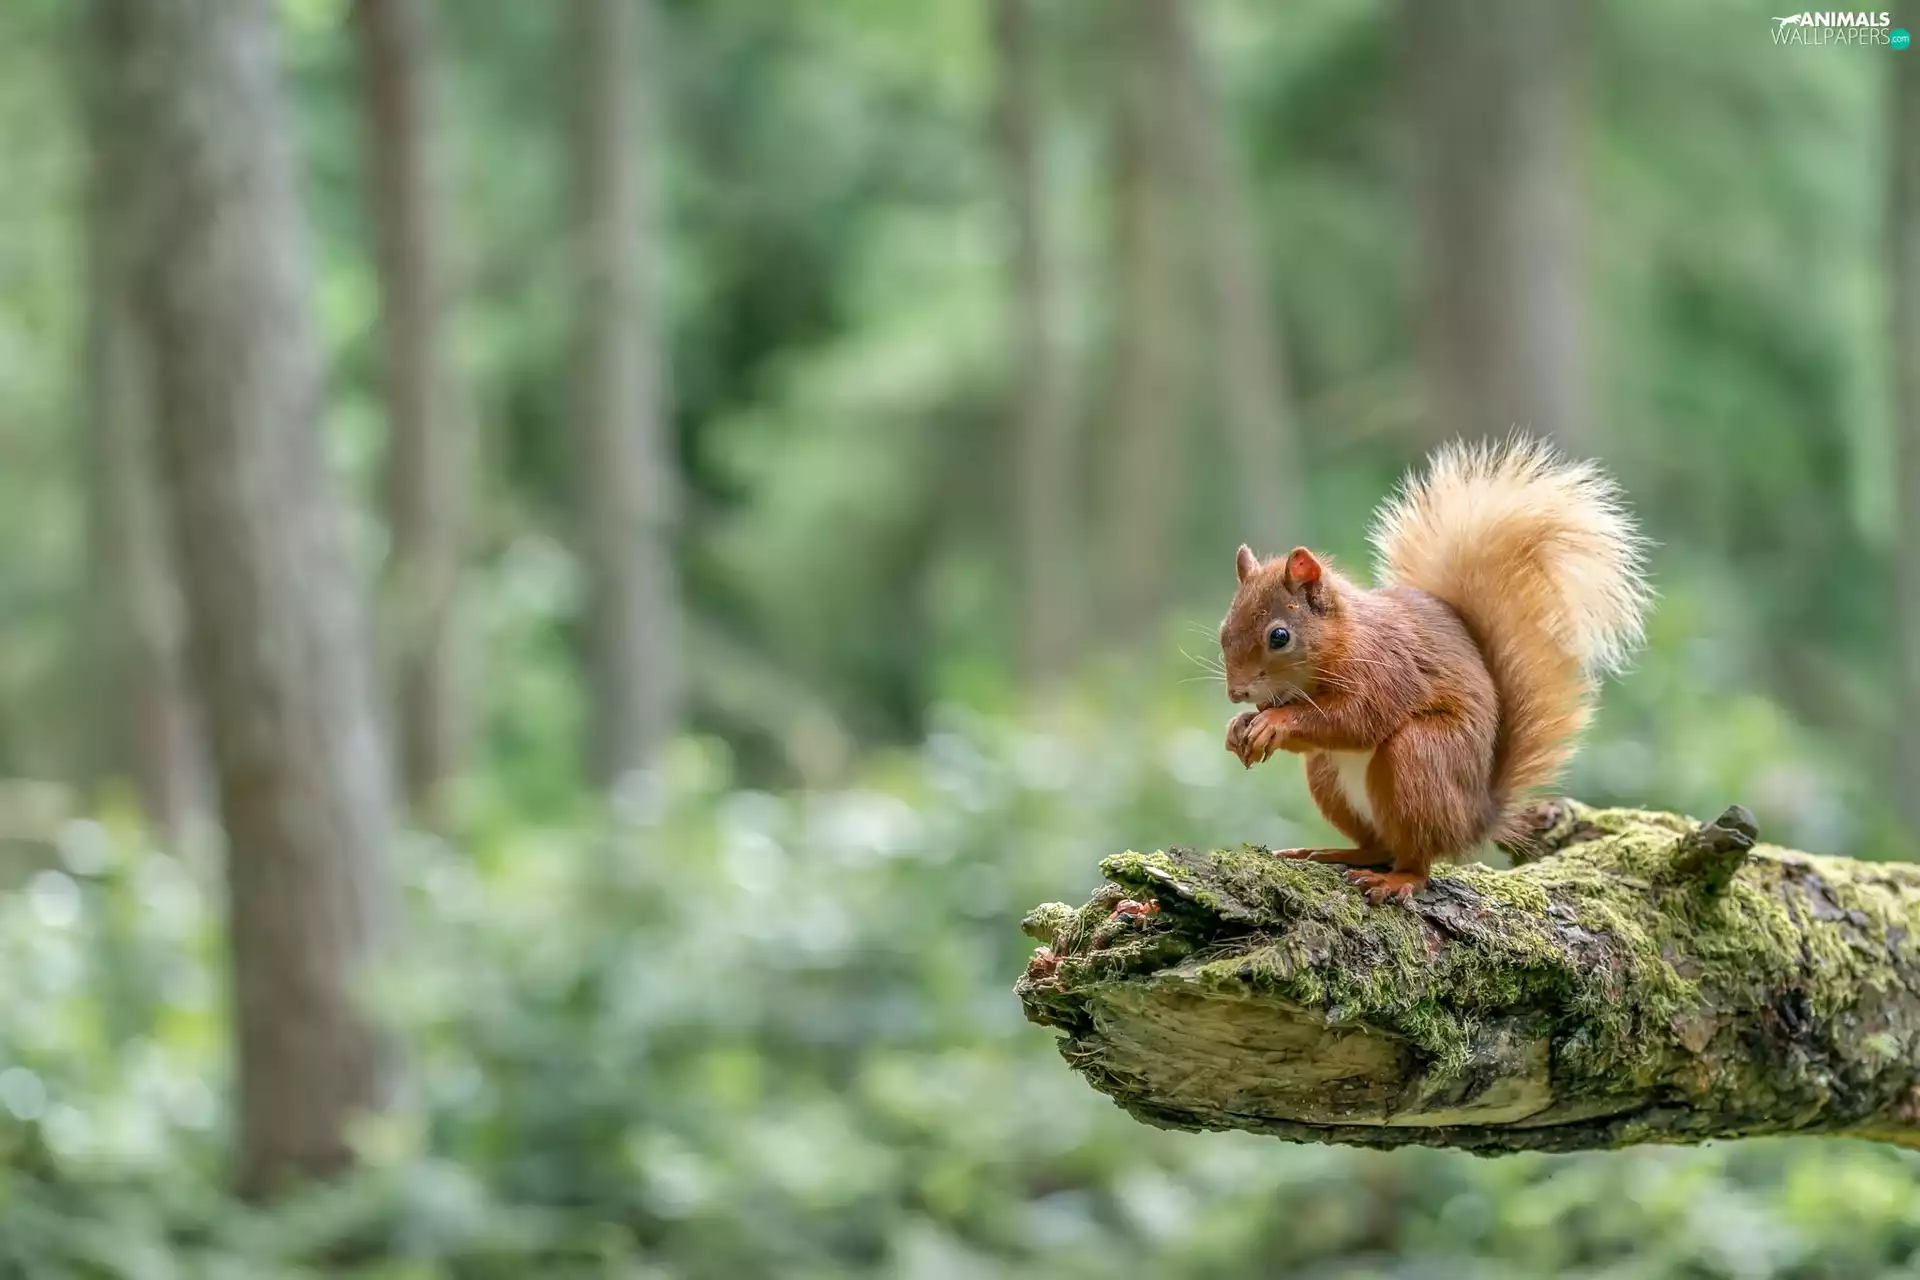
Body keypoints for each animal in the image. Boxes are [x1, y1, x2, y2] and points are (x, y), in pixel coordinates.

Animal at [1218, 437, 1652, 905]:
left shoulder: (1389, 670)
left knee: (1417, 859)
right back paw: (1331, 852)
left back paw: (1395, 879)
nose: (1236, 693)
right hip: (1327, 776)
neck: (1345, 638)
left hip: (1421, 757)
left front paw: (1274, 722)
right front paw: (1239, 726)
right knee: (1377, 845)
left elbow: (1356, 720)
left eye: (1279, 636)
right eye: (1224, 629)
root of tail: (1474, 820)